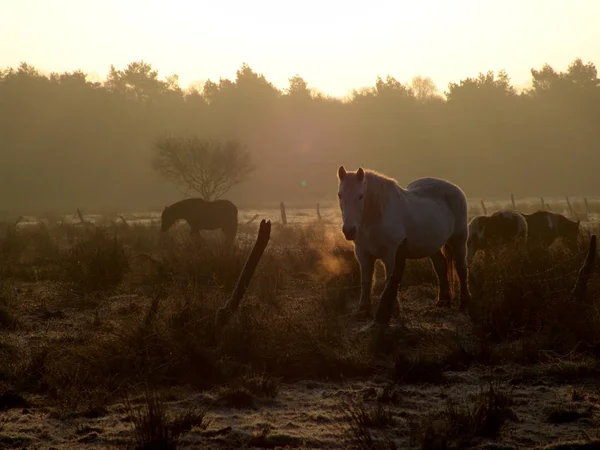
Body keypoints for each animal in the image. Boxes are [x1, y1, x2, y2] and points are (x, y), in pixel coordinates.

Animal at [336, 166, 472, 320]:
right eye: (340, 195)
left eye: (360, 196)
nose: (349, 230)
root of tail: (456, 189)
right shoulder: (363, 254)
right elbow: (366, 281)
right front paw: (363, 310)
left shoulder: (391, 255)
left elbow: (390, 280)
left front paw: (393, 310)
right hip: (432, 247)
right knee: (441, 266)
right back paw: (443, 301)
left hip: (459, 241)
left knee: (461, 269)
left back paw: (464, 303)